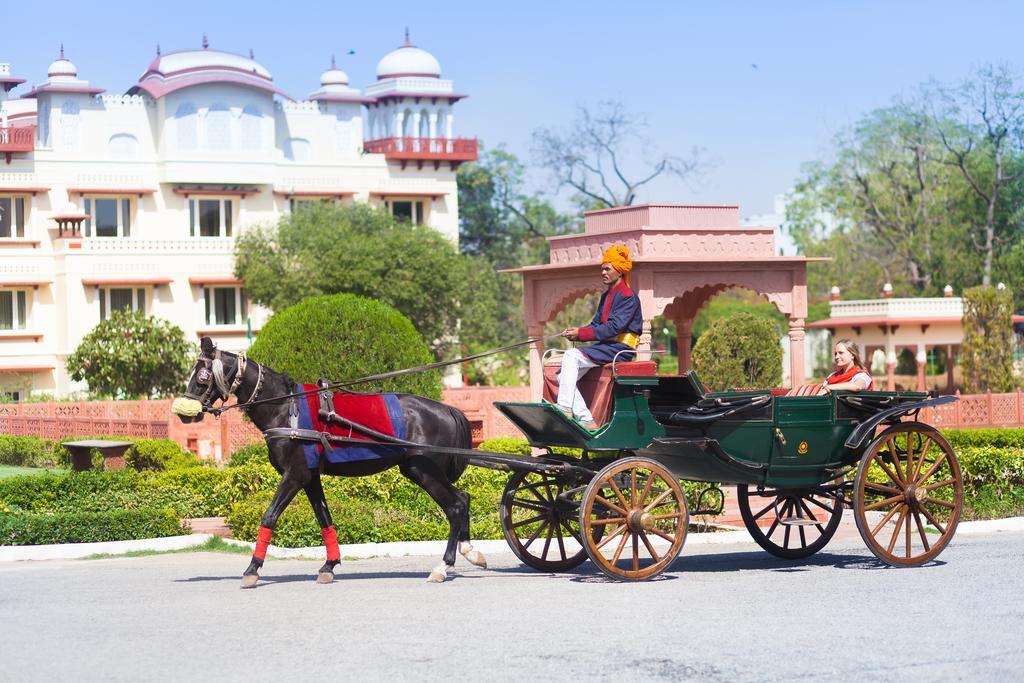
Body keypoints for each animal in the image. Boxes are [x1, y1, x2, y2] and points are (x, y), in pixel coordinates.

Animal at [174, 335, 485, 589]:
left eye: (202, 376)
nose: (184, 413)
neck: (286, 409)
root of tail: (449, 410)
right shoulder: (310, 476)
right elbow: (324, 518)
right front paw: (329, 565)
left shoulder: (295, 474)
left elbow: (270, 516)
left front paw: (252, 569)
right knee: (464, 498)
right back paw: (469, 551)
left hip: (423, 470)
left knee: (455, 506)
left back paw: (443, 566)